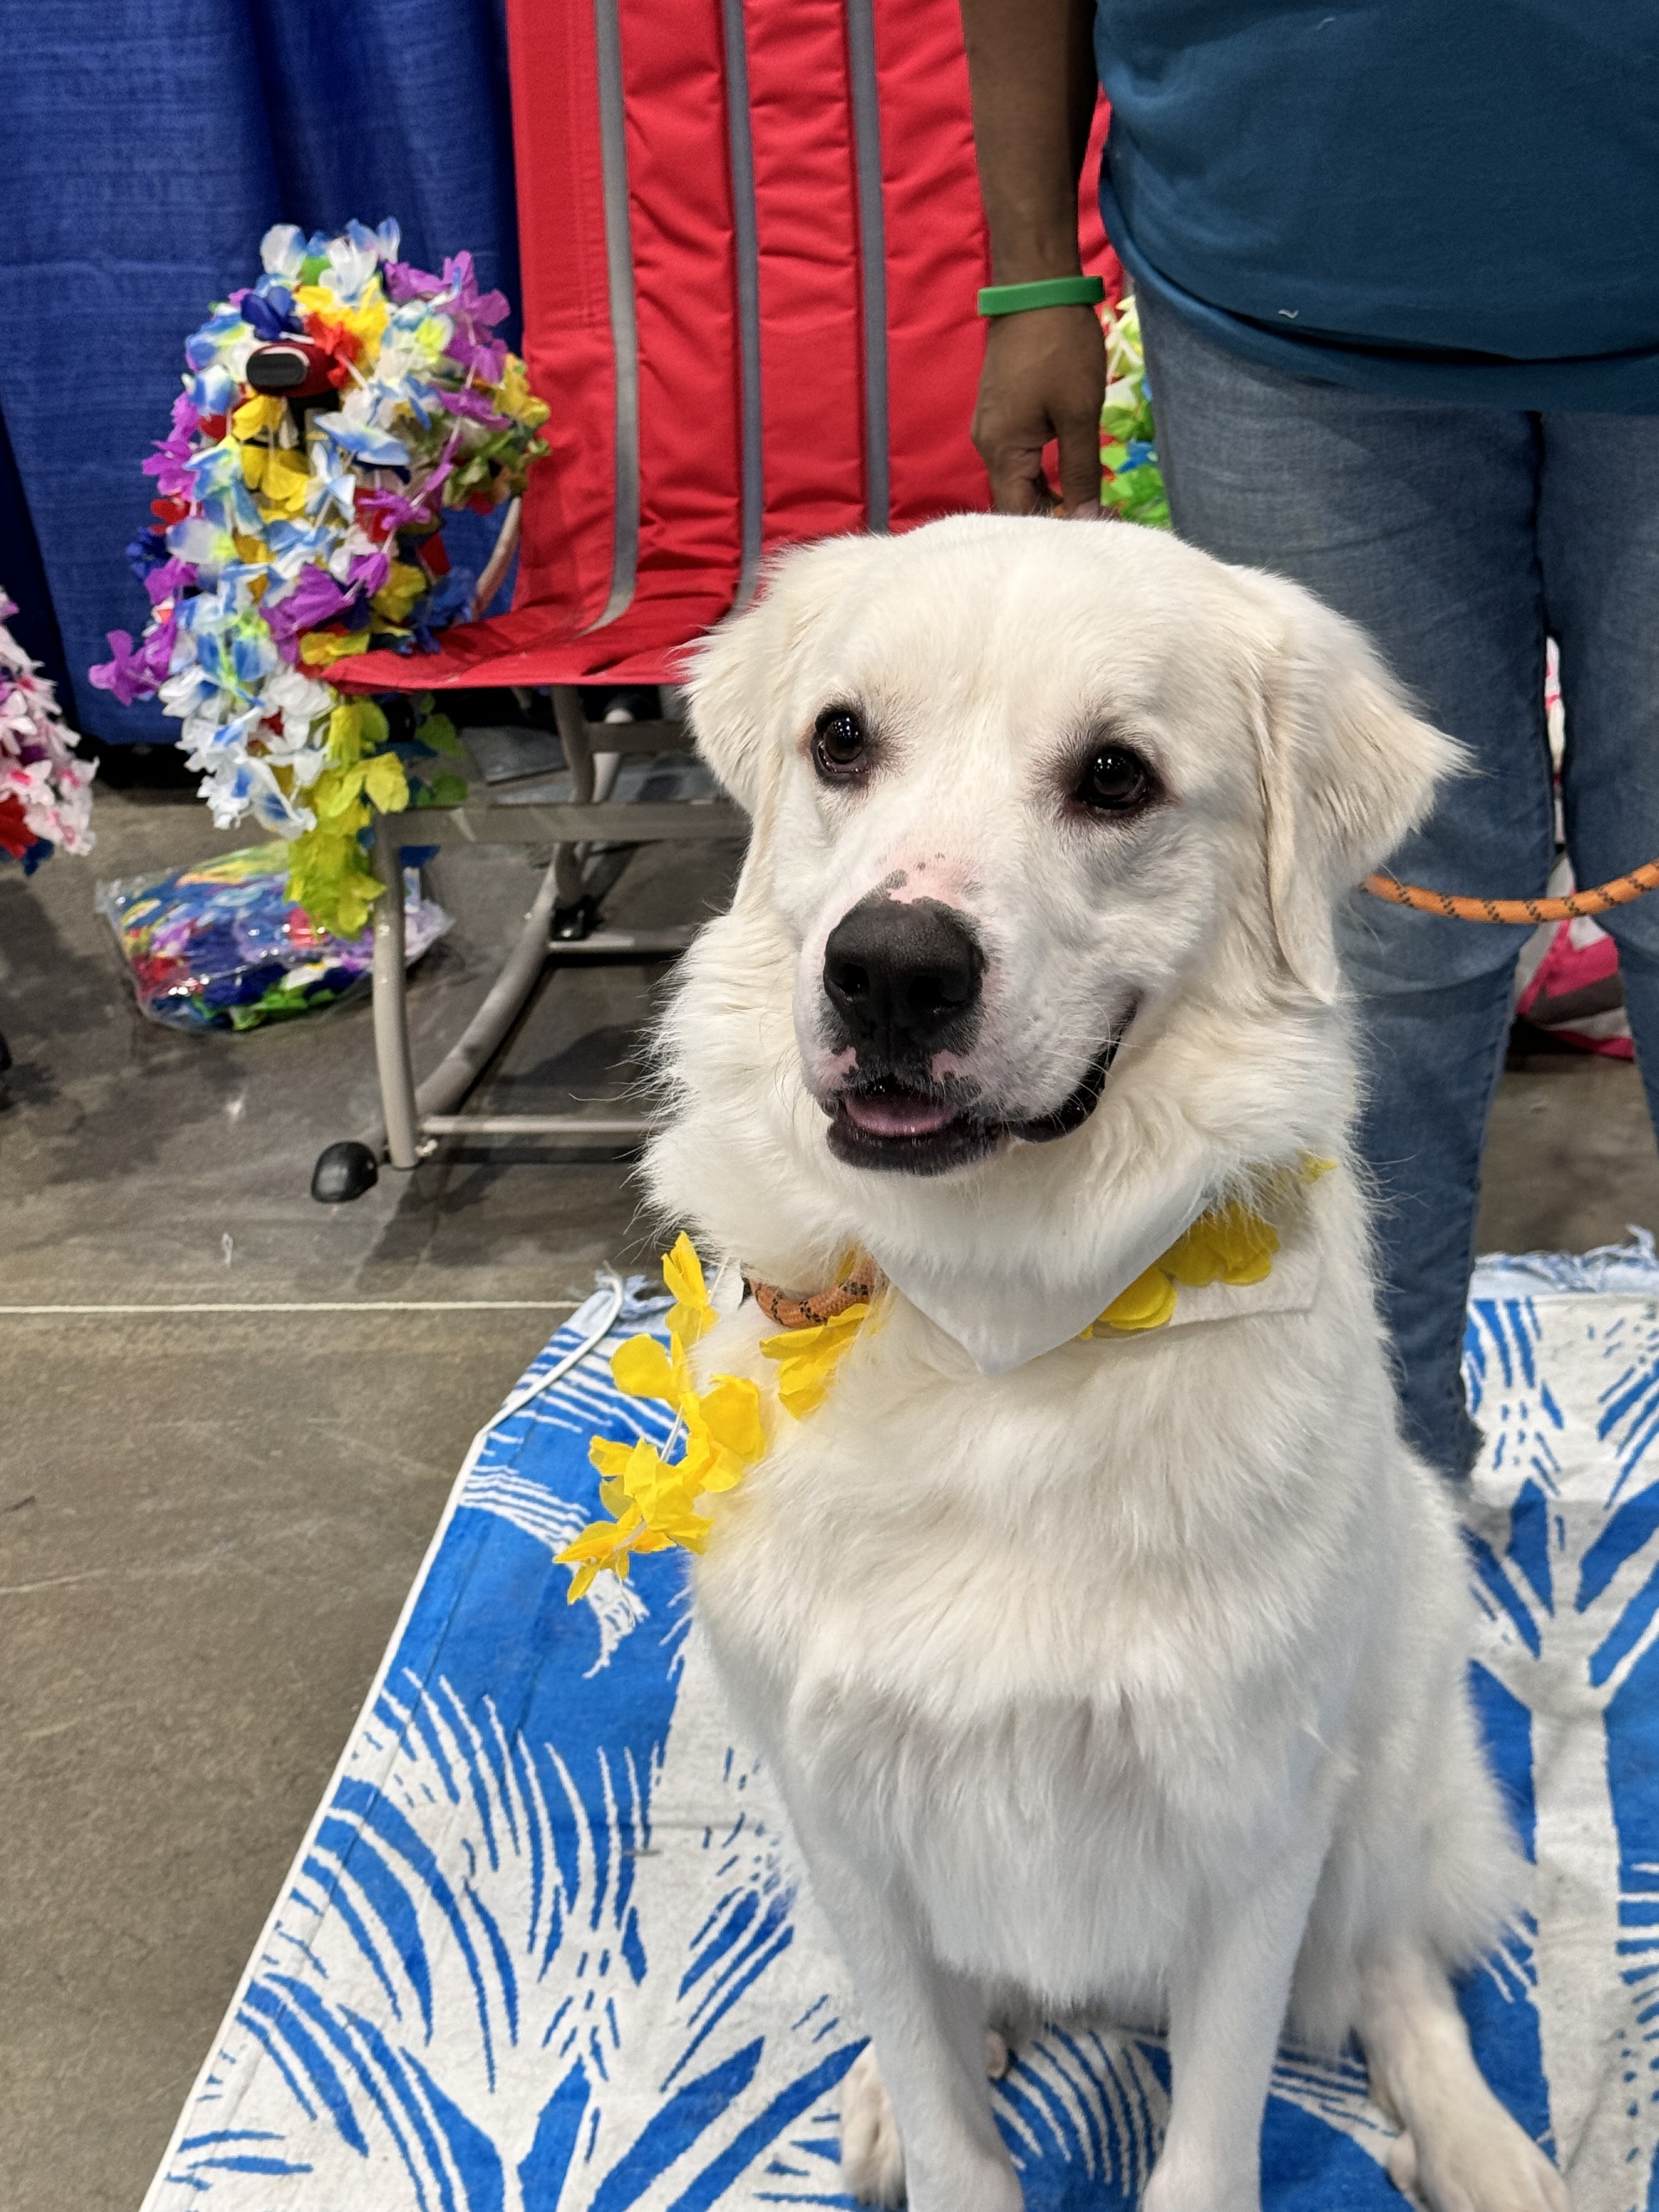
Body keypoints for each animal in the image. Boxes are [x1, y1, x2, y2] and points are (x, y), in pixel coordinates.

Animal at [641, 513, 1575, 2212]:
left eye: (1117, 778)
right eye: (841, 742)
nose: (889, 970)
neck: (998, 1333)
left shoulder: (1257, 1824)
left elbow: (1212, 2141)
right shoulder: (846, 1817)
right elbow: (952, 2120)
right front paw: (922, 2116)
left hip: (1391, 1759)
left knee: (1394, 1969)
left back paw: (1484, 2149)